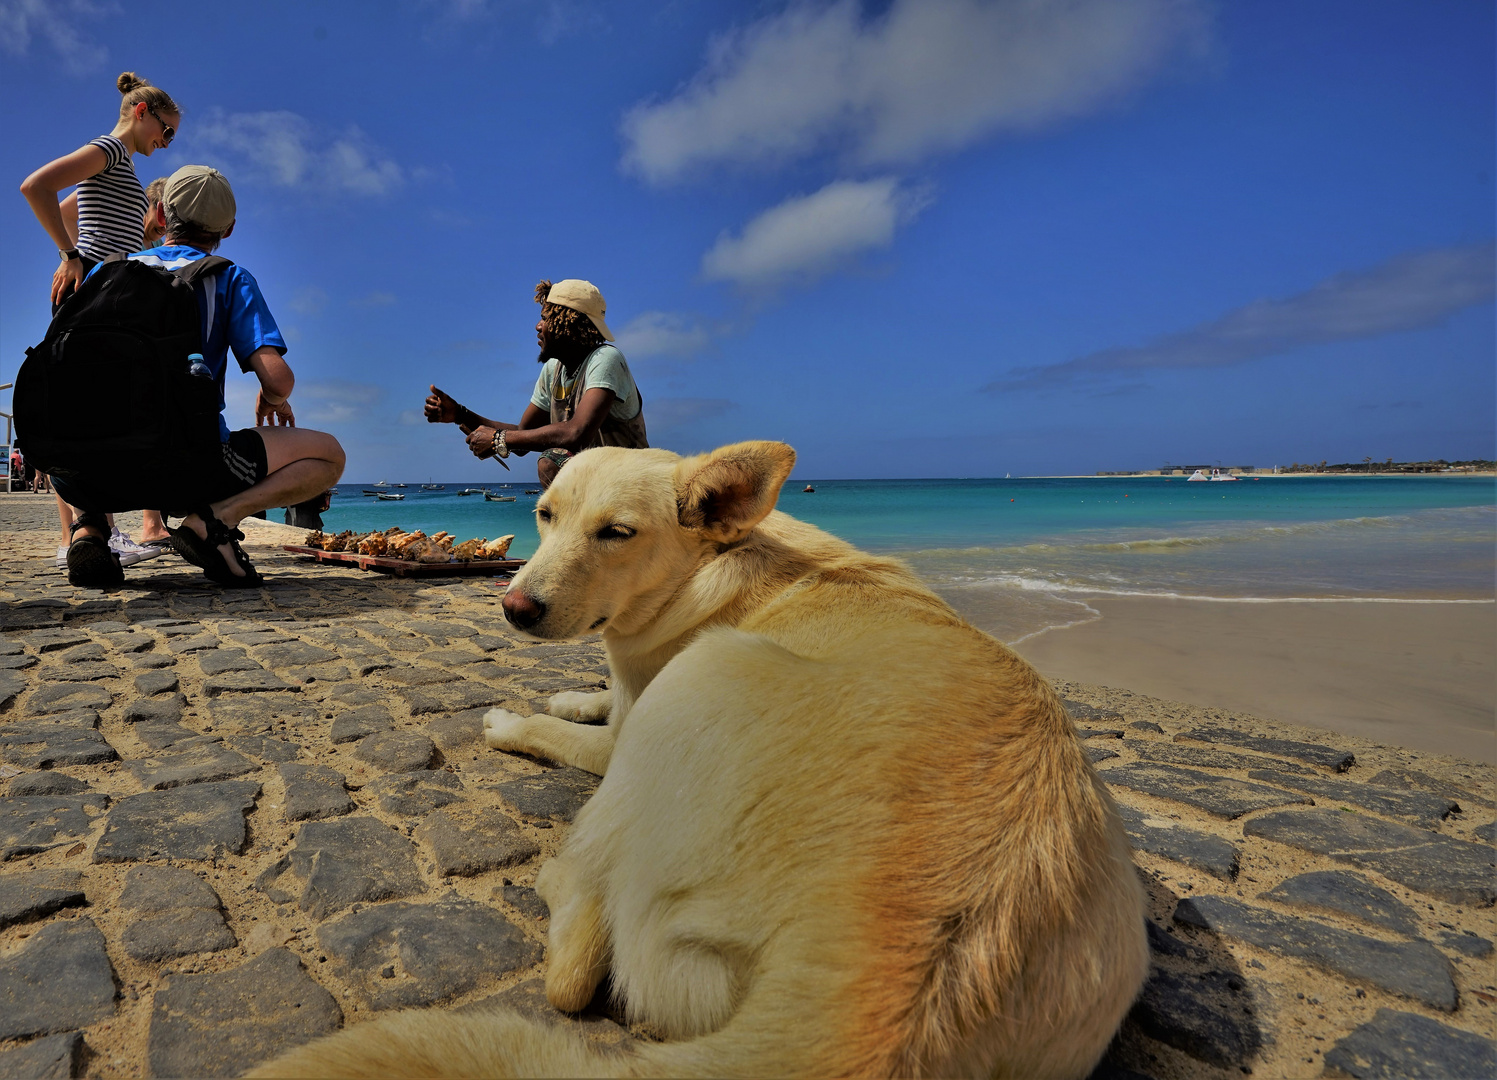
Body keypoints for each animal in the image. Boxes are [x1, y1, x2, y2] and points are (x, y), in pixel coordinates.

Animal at [257, 440, 1143, 1078]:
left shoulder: (632, 720)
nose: (513, 607)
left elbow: (564, 731)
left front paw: (517, 717)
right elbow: (593, 698)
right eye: (542, 515)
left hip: (701, 678)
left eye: (616, 533)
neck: (716, 563)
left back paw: (555, 877)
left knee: (574, 966)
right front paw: (573, 693)